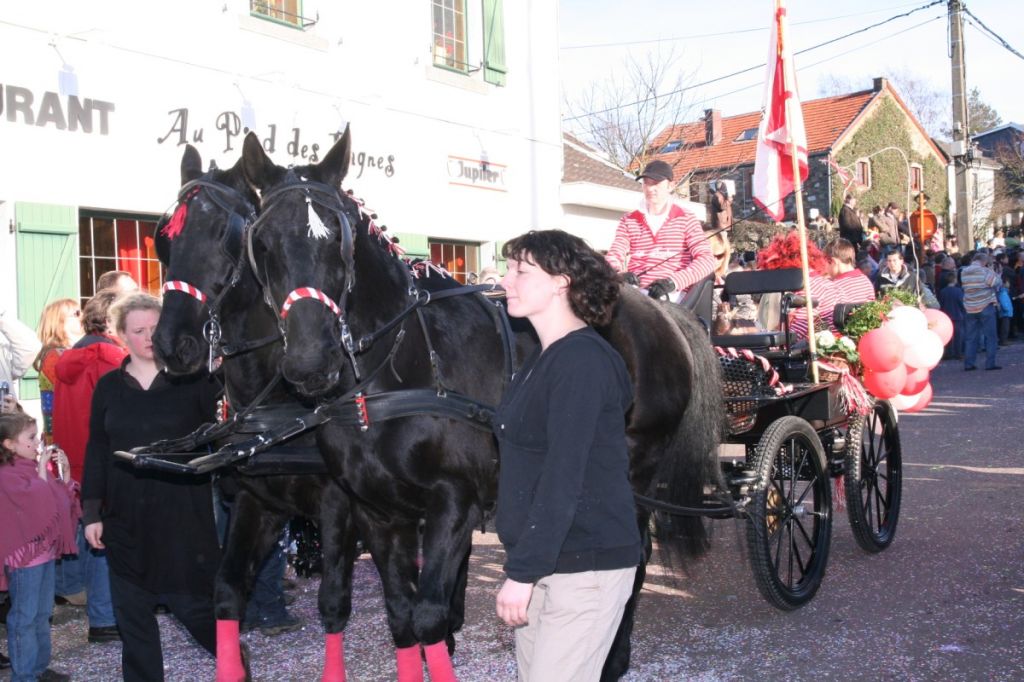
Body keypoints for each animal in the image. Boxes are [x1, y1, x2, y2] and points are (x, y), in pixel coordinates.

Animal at [149, 146, 360, 675]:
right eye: (163, 238)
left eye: (226, 236)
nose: (170, 344)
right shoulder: (255, 501)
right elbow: (226, 589)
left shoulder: (340, 503)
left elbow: (334, 600)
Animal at [240, 130, 724, 675]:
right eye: (262, 243)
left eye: (339, 242)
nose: (309, 362)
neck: (395, 371)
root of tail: (658, 309)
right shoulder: (378, 512)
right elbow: (401, 616)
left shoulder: (454, 503)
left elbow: (429, 616)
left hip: (636, 472)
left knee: (634, 558)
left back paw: (614, 655)